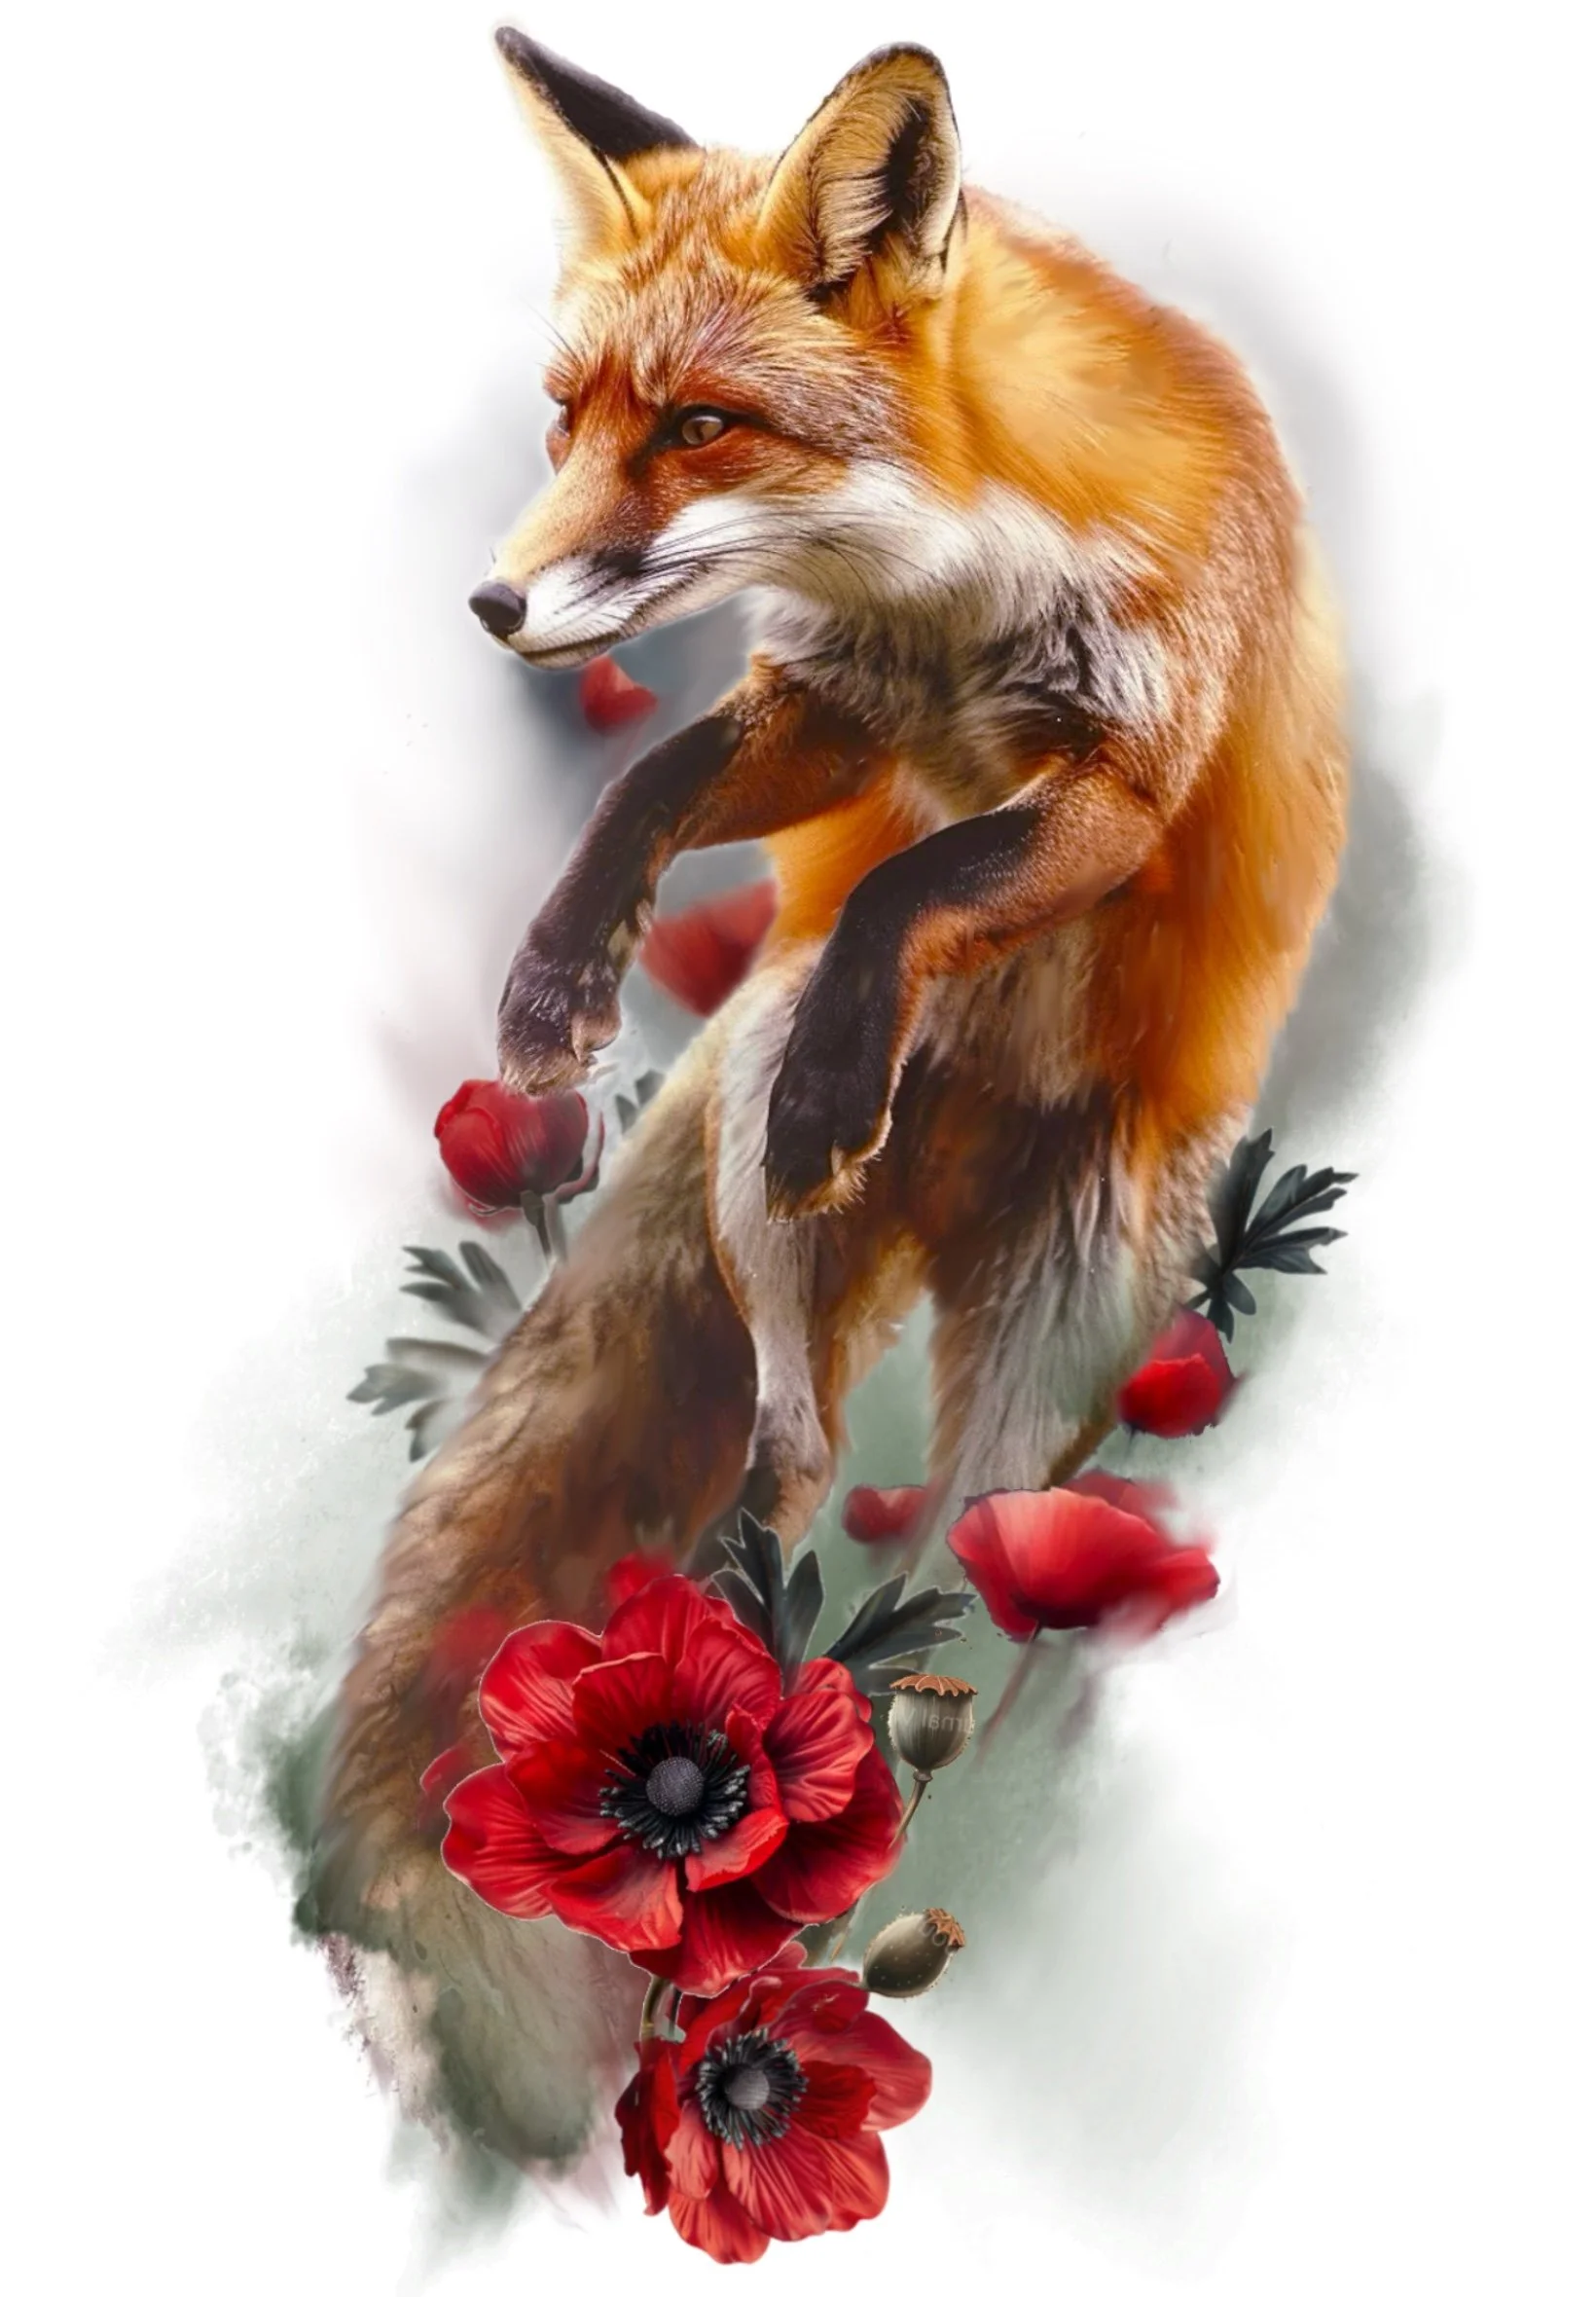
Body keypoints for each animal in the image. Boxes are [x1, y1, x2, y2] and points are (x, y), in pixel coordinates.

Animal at [309, 32, 1346, 2169]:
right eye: (569, 413)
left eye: (704, 425)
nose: (491, 608)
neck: (960, 589)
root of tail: (942, 1208)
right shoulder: (840, 709)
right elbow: (662, 785)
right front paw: (555, 985)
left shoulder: (1117, 780)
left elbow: (913, 879)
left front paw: (845, 1029)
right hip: (755, 1135)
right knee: (783, 1426)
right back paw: (753, 1600)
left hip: (1072, 1315)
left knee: (978, 1523)